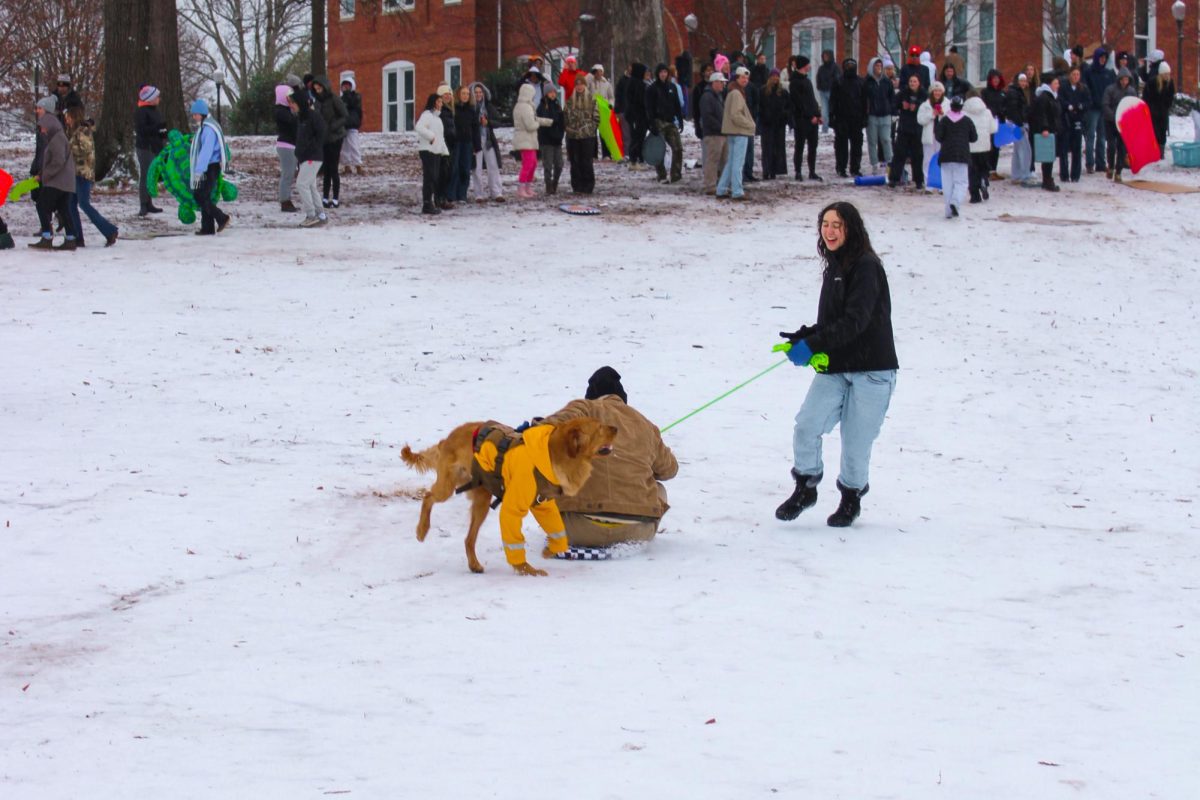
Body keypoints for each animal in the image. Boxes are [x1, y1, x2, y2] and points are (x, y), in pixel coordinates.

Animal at [403, 419, 619, 575]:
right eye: (599, 427)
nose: (616, 428)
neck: (550, 454)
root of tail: (448, 439)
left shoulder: (544, 505)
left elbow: (559, 533)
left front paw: (549, 551)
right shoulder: (512, 508)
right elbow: (515, 542)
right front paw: (527, 569)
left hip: (481, 500)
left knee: (468, 539)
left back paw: (474, 564)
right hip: (447, 488)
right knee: (428, 497)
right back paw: (422, 530)